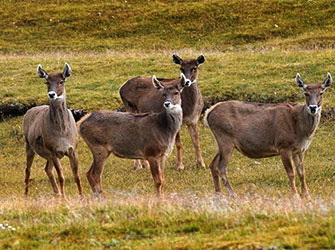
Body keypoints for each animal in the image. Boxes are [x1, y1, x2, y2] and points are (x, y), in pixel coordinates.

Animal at [23, 63, 83, 198]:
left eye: (61, 81)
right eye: (47, 82)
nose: (51, 94)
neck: (62, 134)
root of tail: (28, 111)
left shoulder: (73, 149)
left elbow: (77, 176)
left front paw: (82, 197)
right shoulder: (53, 150)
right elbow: (61, 177)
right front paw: (64, 198)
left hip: (48, 155)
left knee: (47, 169)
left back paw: (57, 193)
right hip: (29, 145)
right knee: (28, 169)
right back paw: (26, 195)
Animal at [205, 73, 334, 199]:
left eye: (321, 92)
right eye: (305, 93)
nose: (313, 108)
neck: (302, 132)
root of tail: (208, 113)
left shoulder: (299, 150)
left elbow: (302, 172)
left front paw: (306, 195)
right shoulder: (283, 146)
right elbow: (291, 173)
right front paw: (295, 195)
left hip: (222, 142)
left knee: (213, 165)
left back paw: (218, 194)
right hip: (225, 138)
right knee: (222, 167)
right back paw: (233, 194)